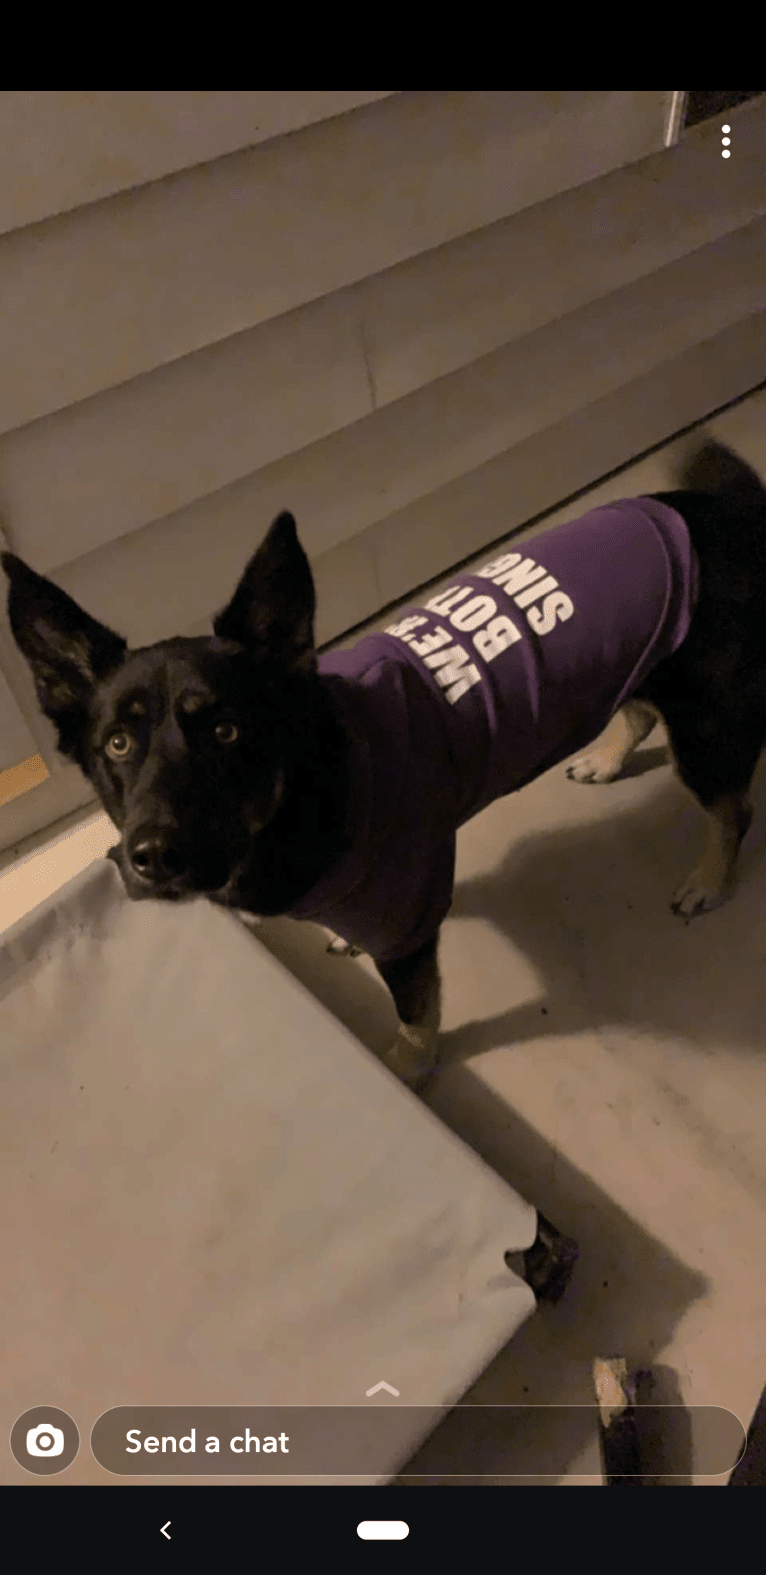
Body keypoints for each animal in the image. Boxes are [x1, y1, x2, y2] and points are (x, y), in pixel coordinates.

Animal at [4, 437, 766, 1089]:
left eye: (226, 731)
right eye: (117, 744)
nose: (153, 857)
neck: (300, 792)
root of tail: (738, 517)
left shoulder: (407, 931)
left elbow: (415, 1017)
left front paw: (408, 1071)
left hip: (707, 734)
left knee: (732, 809)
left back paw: (709, 879)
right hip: (644, 668)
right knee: (640, 710)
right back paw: (607, 759)